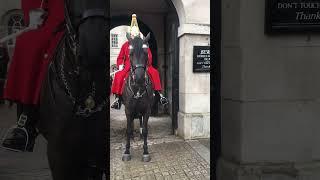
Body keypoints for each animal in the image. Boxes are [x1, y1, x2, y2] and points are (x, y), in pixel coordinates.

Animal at [121, 32, 154, 162]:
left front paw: (145, 152)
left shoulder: (147, 110)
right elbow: (128, 130)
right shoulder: (128, 110)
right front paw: (126, 151)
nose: (139, 78)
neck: (138, 89)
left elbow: (145, 130)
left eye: (146, 53)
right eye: (130, 54)